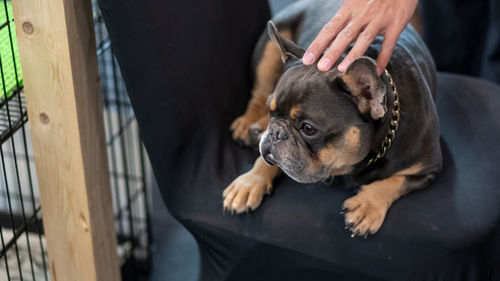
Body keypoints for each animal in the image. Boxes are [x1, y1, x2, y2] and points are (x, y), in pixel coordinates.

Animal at [223, 0, 442, 236]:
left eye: (308, 128)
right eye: (272, 111)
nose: (275, 132)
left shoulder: (427, 169)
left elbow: (395, 181)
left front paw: (368, 205)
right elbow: (265, 161)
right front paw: (250, 182)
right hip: (268, 52)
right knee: (257, 92)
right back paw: (250, 125)